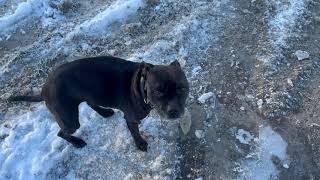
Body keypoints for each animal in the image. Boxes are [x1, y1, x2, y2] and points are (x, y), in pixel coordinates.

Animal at [8, 55, 189, 151]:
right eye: (158, 91)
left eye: (181, 88)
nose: (174, 111)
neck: (140, 84)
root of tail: (44, 89)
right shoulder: (131, 119)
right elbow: (135, 133)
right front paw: (140, 143)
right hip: (69, 119)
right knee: (61, 133)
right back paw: (77, 142)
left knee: (90, 102)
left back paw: (104, 112)